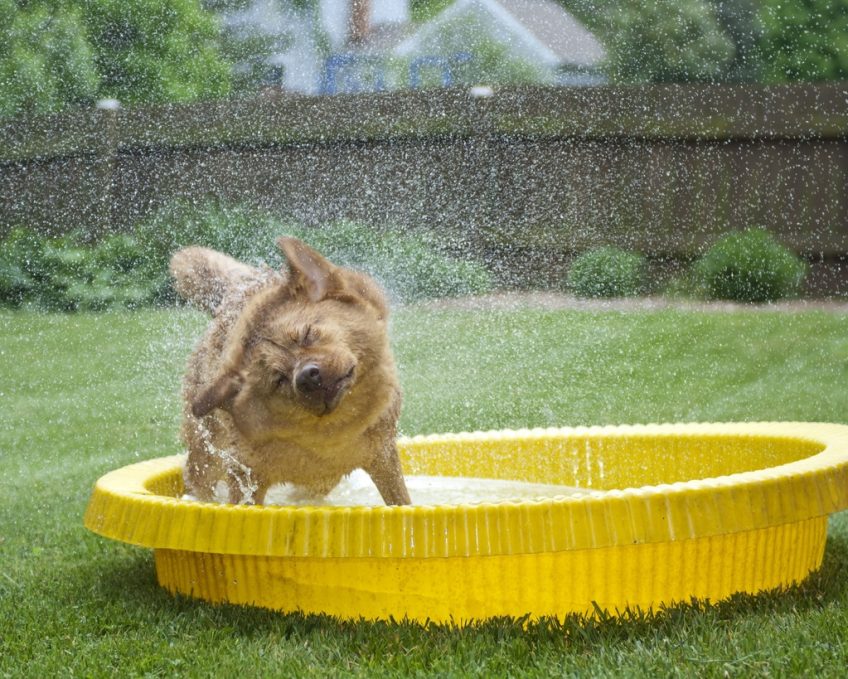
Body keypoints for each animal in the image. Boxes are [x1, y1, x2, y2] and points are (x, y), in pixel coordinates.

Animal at [169, 236, 410, 508]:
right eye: (279, 379)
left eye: (307, 334)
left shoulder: (383, 458)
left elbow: (402, 501)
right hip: (205, 457)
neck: (331, 437)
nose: (308, 376)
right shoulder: (246, 478)